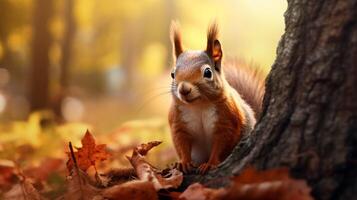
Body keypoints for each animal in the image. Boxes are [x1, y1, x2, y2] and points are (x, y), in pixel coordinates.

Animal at [168, 21, 264, 174]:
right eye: (172, 74)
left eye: (208, 72)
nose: (184, 89)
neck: (199, 106)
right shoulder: (178, 123)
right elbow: (181, 143)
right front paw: (183, 162)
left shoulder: (228, 121)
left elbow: (221, 145)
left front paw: (210, 164)